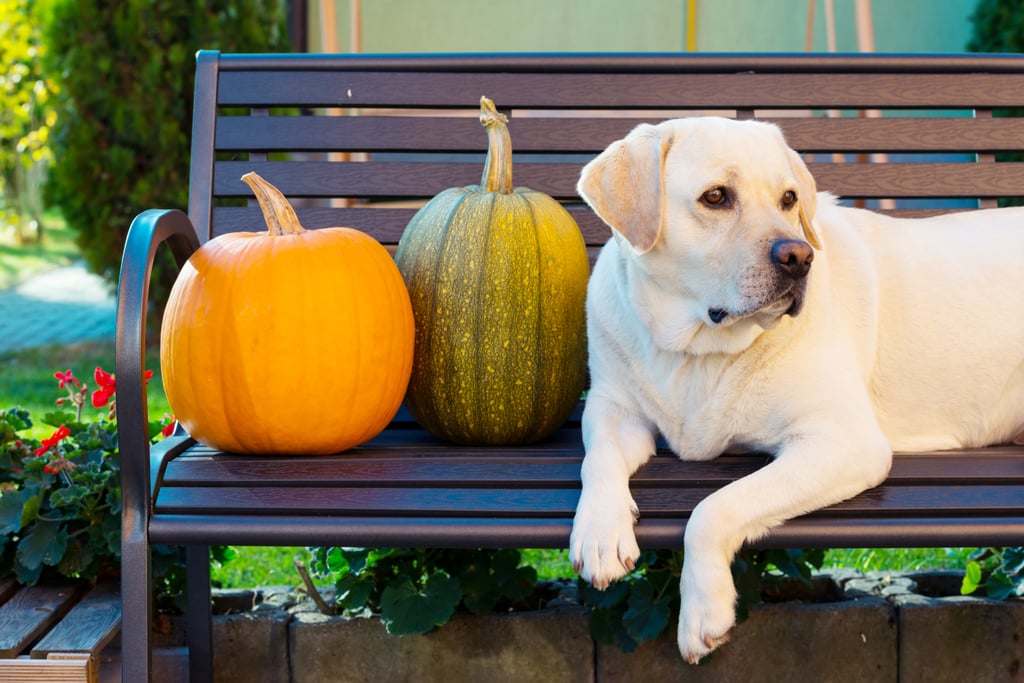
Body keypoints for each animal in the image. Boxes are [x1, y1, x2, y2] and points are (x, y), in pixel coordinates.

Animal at [573, 116, 1024, 663]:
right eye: (716, 196)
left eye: (789, 199)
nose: (798, 256)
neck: (696, 347)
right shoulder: (612, 406)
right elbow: (597, 459)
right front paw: (599, 533)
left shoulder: (844, 442)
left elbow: (713, 507)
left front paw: (703, 607)